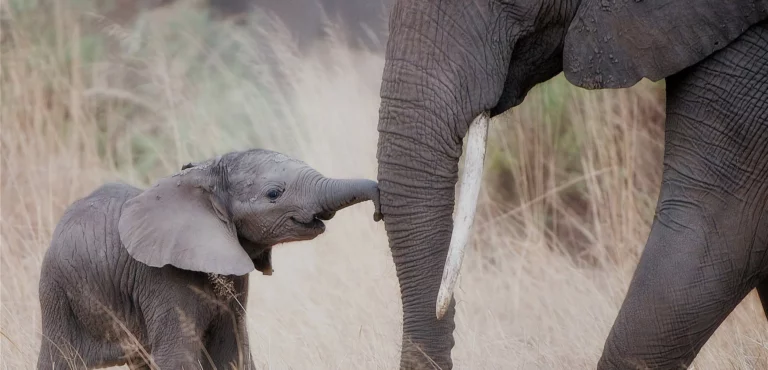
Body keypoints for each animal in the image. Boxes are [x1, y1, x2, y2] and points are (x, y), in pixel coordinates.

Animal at [37, 149, 382, 368]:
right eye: (274, 193)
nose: (379, 209)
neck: (205, 174)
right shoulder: (161, 279)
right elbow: (178, 357)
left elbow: (233, 350)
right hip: (57, 296)